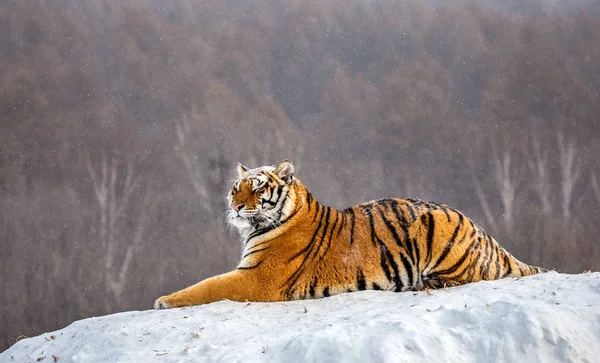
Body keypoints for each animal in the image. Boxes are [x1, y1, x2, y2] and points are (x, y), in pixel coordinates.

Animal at [152, 160, 548, 310]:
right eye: (236, 188)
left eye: (257, 187)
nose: (235, 206)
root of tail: (489, 236)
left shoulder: (258, 277)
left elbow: (207, 286)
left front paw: (164, 300)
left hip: (440, 234)